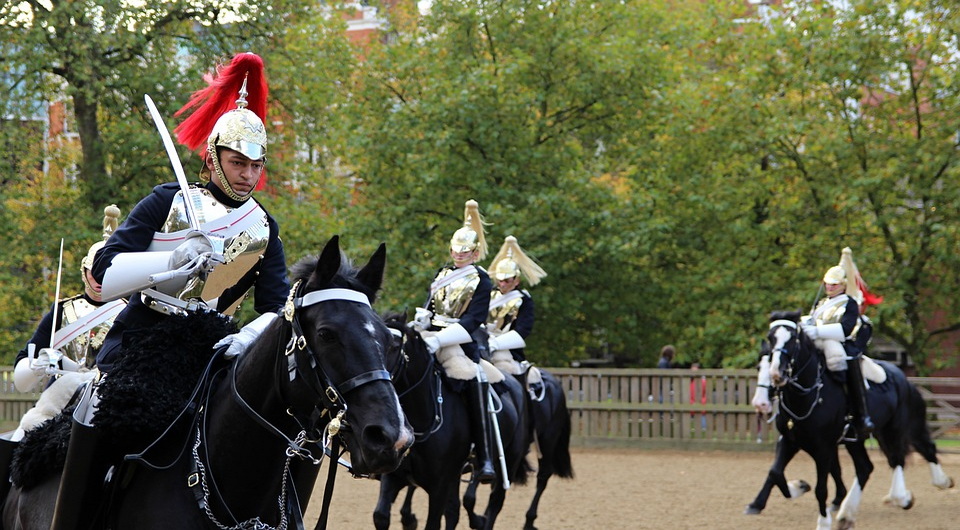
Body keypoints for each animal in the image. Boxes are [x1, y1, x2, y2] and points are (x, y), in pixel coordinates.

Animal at [756, 310, 952, 528]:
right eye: (770, 337)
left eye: (792, 339)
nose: (776, 373)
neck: (808, 395)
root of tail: (903, 379)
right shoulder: (790, 441)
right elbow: (775, 472)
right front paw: (797, 487)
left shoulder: (823, 448)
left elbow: (821, 487)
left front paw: (823, 522)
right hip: (858, 439)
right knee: (867, 467)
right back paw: (848, 513)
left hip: (893, 430)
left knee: (901, 457)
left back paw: (906, 495)